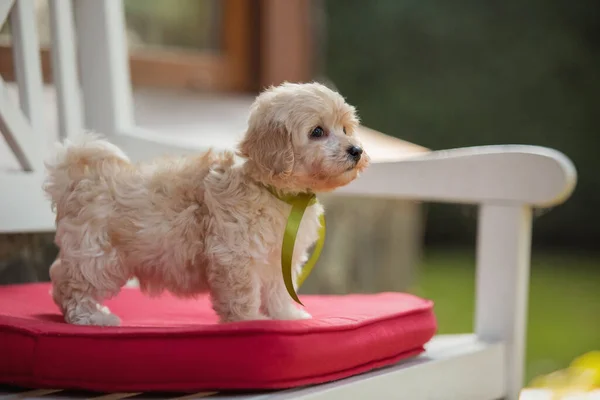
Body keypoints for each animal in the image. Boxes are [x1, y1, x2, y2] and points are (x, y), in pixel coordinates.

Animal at [42, 81, 368, 324]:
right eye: (317, 132)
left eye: (345, 128)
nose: (356, 150)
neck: (275, 191)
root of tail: (80, 178)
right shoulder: (235, 256)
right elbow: (243, 295)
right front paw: (250, 322)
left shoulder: (277, 258)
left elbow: (278, 291)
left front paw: (286, 316)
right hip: (97, 255)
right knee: (69, 286)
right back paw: (93, 317)